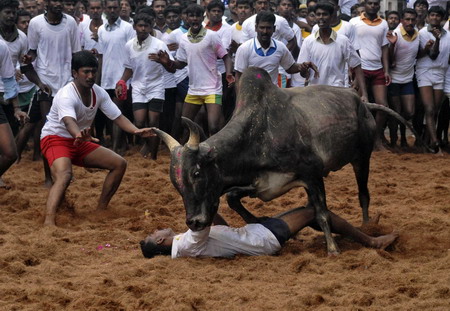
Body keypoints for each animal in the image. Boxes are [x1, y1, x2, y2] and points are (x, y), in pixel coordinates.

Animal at [152, 67, 408, 256]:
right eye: (175, 183)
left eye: (196, 173)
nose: (194, 223)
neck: (258, 135)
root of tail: (362, 102)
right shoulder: (261, 185)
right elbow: (233, 198)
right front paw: (261, 220)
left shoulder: (312, 174)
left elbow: (323, 214)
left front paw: (333, 250)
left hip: (362, 158)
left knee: (363, 194)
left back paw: (368, 226)